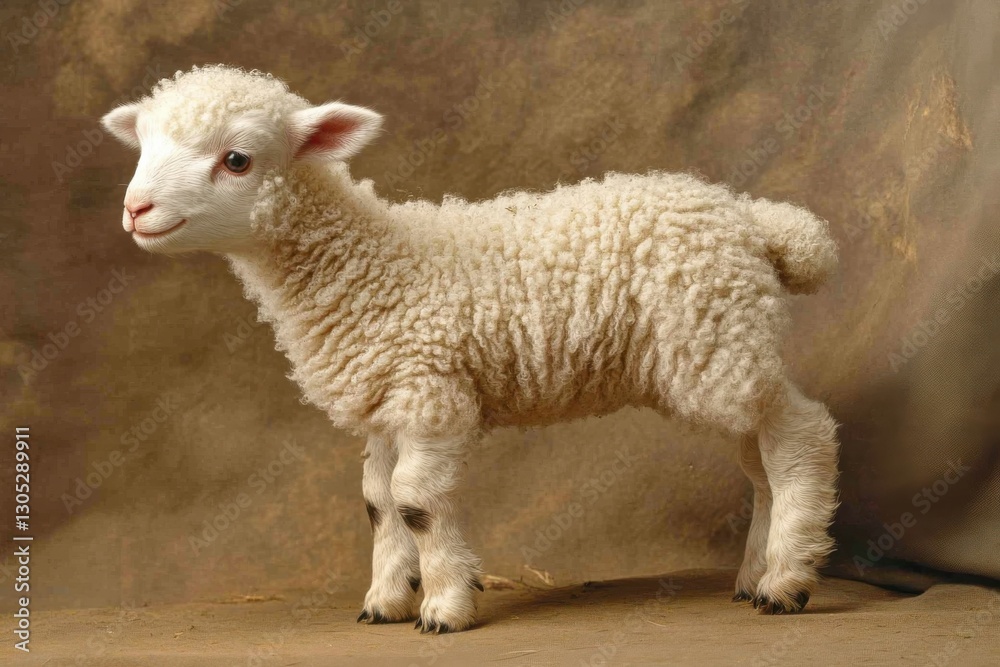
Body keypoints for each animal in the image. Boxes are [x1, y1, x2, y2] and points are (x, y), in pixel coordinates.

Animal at [101, 65, 841, 633]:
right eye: (144, 146)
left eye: (237, 159)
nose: (136, 209)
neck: (365, 266)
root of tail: (752, 220)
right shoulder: (386, 402)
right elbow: (376, 501)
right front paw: (386, 599)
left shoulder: (431, 394)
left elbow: (415, 502)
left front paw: (445, 604)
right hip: (719, 343)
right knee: (759, 459)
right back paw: (756, 572)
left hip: (713, 341)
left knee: (801, 434)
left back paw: (787, 582)